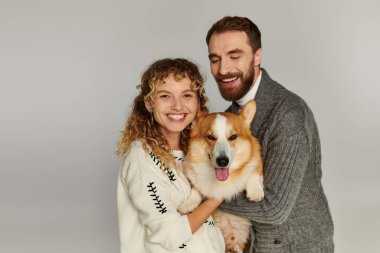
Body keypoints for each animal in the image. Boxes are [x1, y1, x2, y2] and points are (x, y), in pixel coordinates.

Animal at [179, 100, 264, 252]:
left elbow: (254, 171)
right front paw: (188, 204)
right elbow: (196, 189)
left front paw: (255, 192)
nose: (222, 161)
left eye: (233, 137)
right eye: (210, 137)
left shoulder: (257, 160)